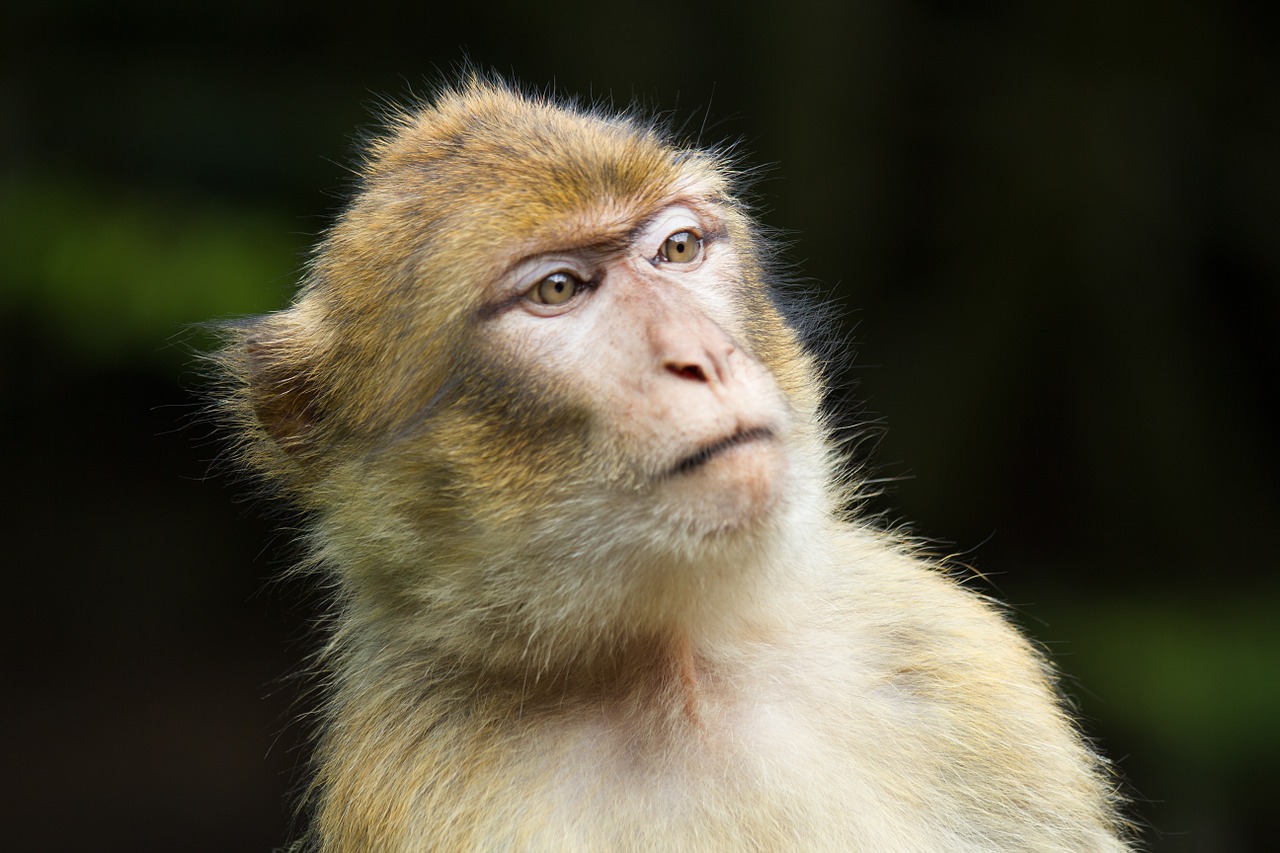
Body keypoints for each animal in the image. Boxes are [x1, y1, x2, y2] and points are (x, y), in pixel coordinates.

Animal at [215, 76, 1136, 845]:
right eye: (557, 290)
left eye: (679, 248)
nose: (704, 357)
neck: (679, 666)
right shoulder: (434, 787)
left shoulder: (950, 654)